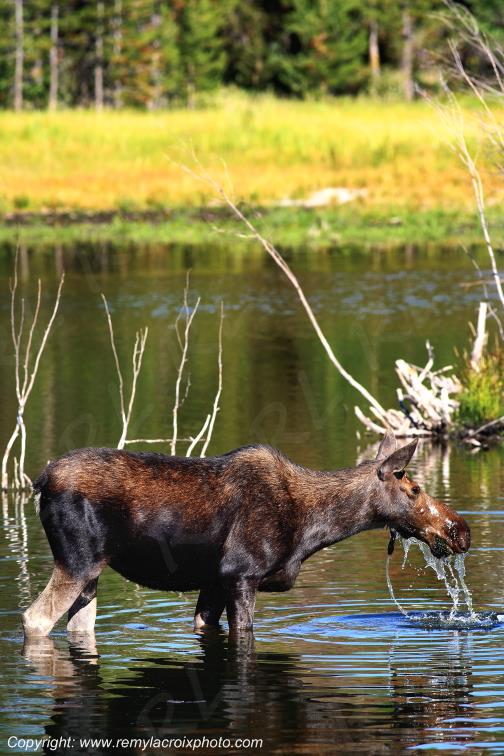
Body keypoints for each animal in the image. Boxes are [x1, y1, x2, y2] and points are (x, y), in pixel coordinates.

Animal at [22, 431, 470, 637]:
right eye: (414, 489)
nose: (461, 531)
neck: (313, 529)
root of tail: (41, 480)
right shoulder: (242, 575)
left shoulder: (214, 582)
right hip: (77, 562)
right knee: (34, 618)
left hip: (91, 575)